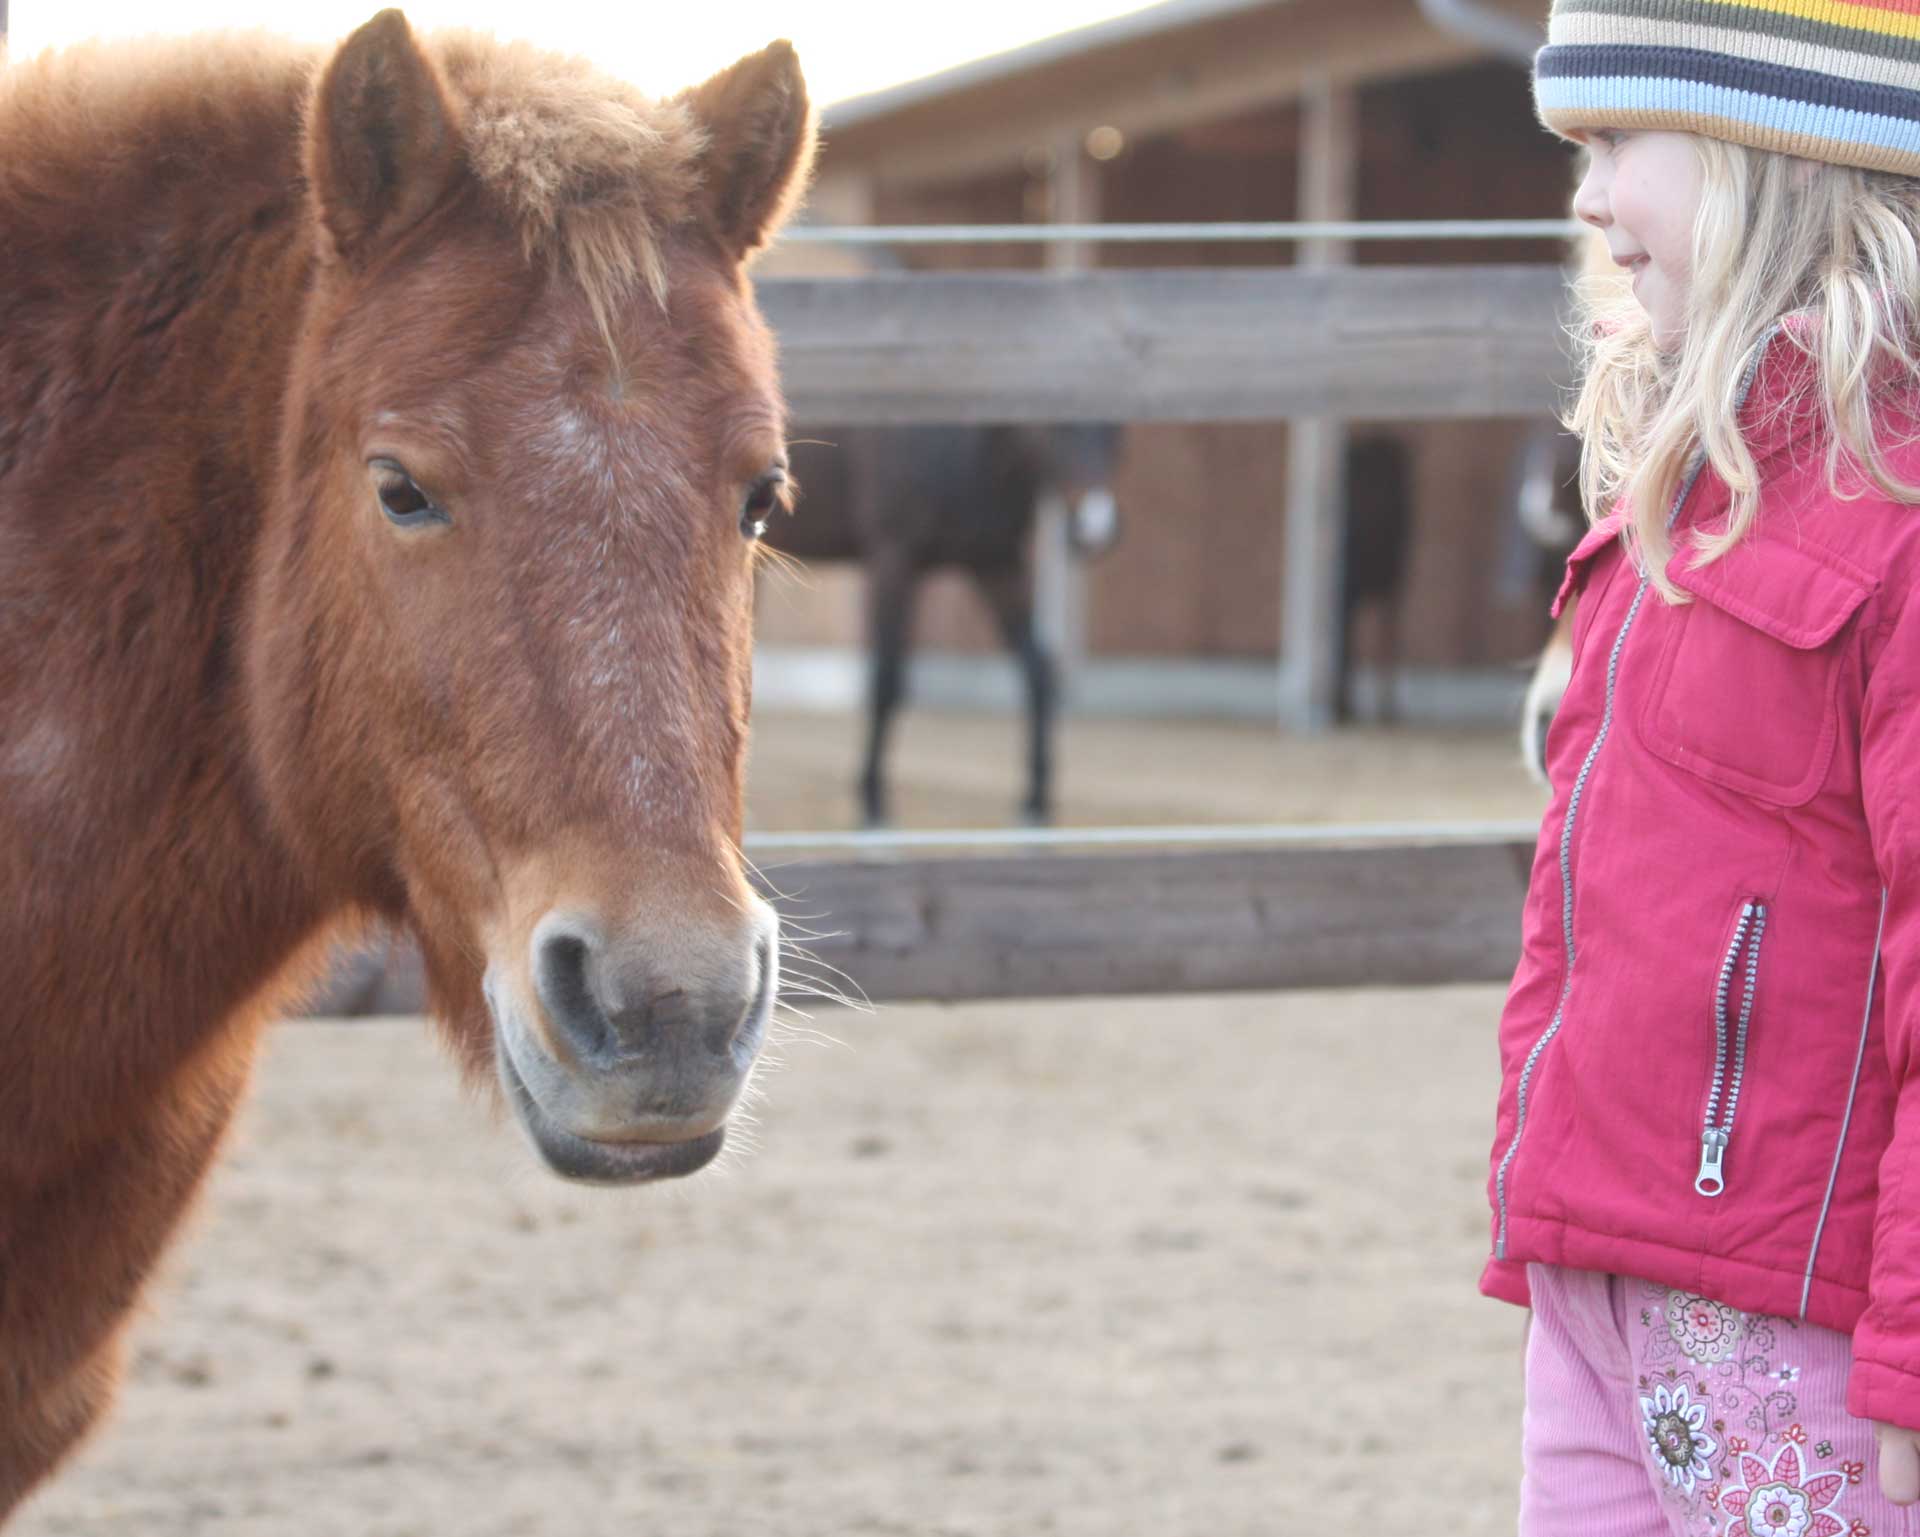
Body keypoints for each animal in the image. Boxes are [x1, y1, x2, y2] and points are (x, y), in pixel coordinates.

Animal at [768, 420, 1121, 828]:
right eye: (1061, 427)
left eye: (1117, 429)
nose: (1096, 526)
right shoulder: (893, 557)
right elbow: (887, 681)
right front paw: (873, 802)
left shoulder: (996, 564)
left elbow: (1038, 671)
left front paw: (1035, 801)